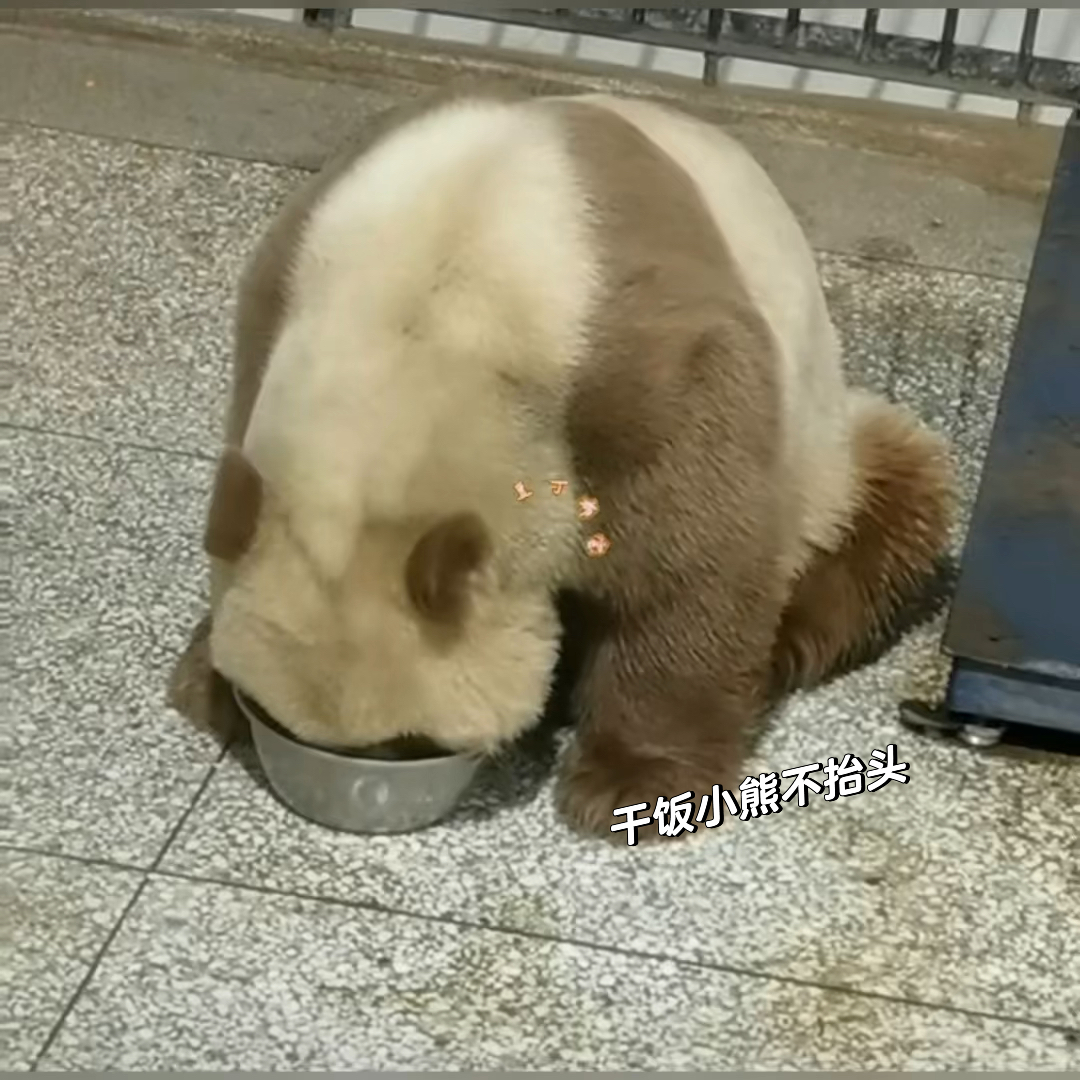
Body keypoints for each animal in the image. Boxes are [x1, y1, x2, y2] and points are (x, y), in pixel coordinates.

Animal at [203, 88, 954, 838]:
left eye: (415, 742)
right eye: (272, 717)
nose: (367, 780)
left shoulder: (624, 368)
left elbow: (693, 559)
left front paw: (632, 782)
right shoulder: (281, 288)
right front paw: (207, 689)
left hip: (823, 443)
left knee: (880, 505)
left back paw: (789, 641)